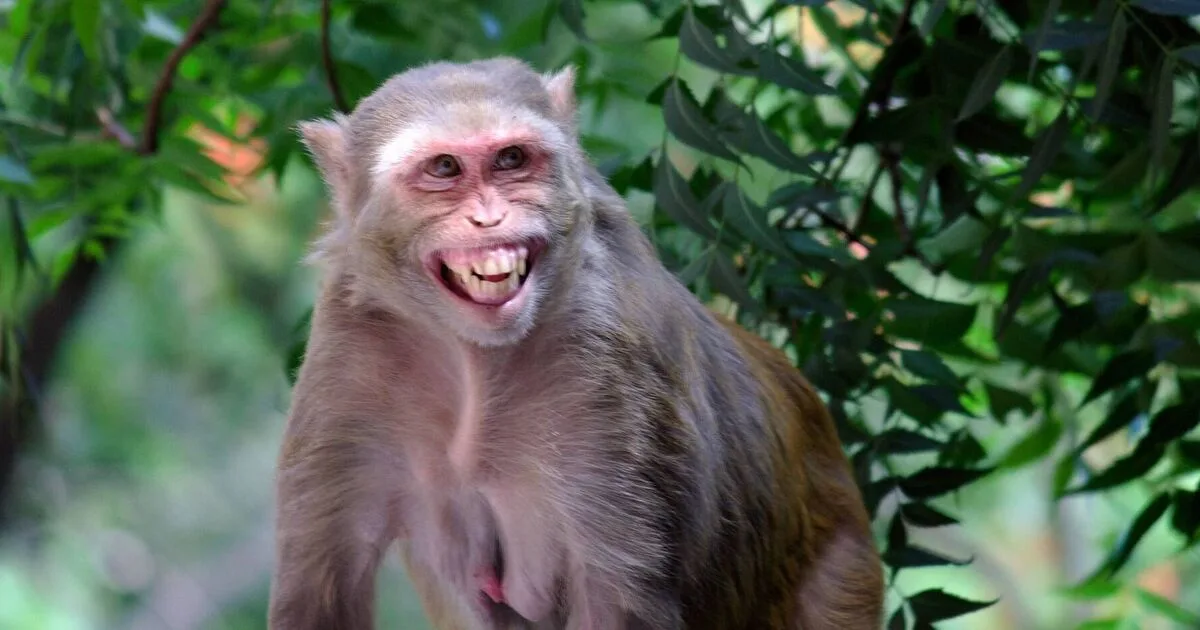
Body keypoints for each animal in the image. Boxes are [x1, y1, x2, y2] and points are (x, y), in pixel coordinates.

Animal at [268, 56, 884, 630]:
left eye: (511, 159)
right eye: (444, 167)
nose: (490, 218)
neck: (474, 361)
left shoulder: (611, 368)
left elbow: (618, 597)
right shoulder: (347, 348)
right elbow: (320, 586)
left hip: (843, 567)